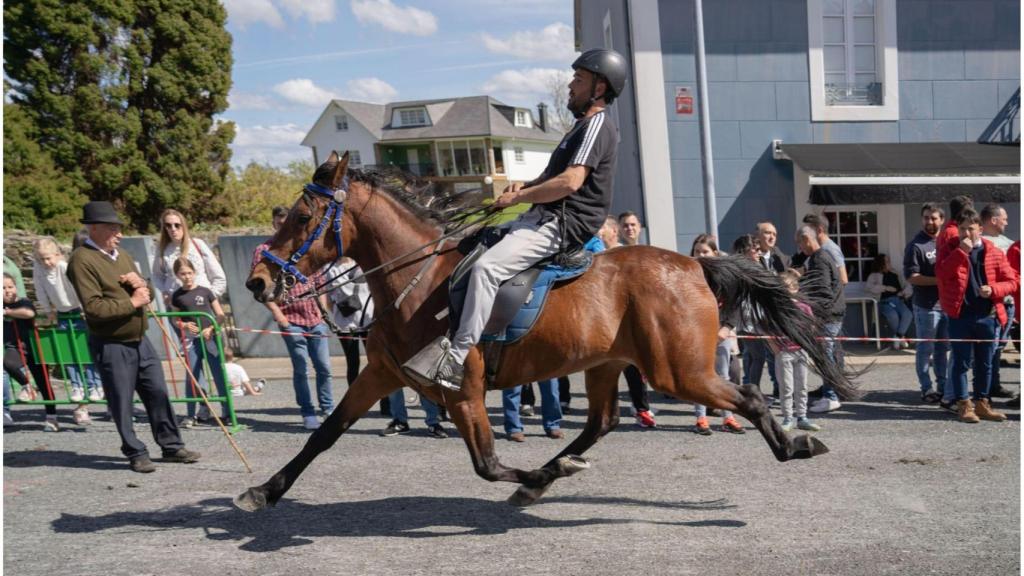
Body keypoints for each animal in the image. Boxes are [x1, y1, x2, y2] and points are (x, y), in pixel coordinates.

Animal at [236, 151, 856, 511]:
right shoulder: (384, 375)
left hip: (677, 371)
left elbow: (486, 464)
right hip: (610, 364)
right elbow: (323, 435)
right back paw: (556, 469)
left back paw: (795, 444)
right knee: (603, 422)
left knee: (748, 394)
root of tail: (695, 265)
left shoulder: (462, 391)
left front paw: (532, 473)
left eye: (301, 218)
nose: (257, 282)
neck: (416, 282)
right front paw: (263, 490)